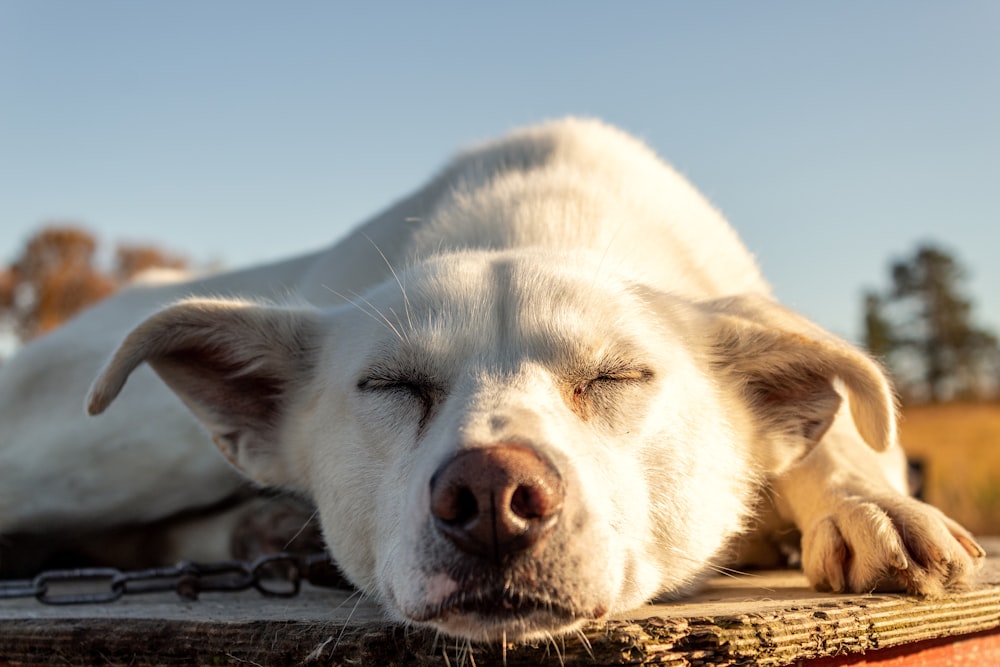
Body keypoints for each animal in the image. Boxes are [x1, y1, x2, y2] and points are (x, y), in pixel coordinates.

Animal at [0, 118, 984, 640]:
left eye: (619, 375)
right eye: (391, 385)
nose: (489, 496)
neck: (548, 216)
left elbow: (843, 436)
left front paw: (871, 503)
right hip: (118, 448)